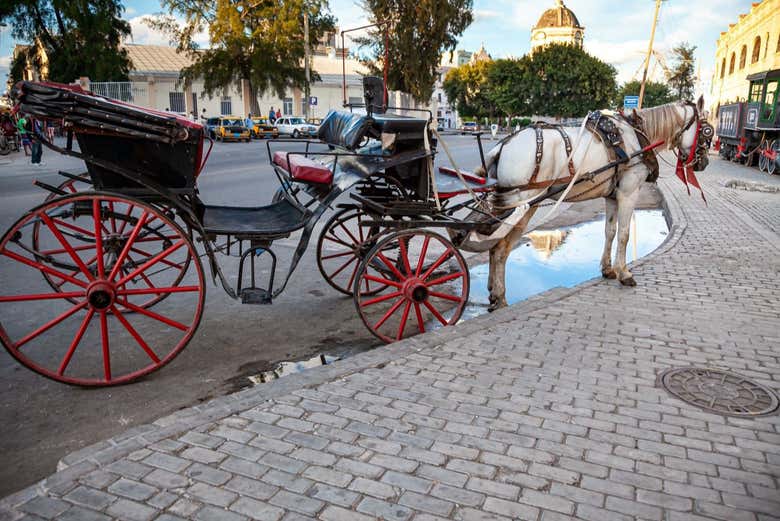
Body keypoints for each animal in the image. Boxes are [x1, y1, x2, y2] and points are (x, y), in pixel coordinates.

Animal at [478, 96, 708, 308]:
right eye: (706, 131)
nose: (703, 163)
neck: (637, 135)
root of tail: (502, 146)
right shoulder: (629, 193)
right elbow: (624, 234)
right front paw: (624, 273)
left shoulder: (612, 196)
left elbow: (610, 231)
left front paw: (607, 269)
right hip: (523, 204)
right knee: (501, 246)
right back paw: (500, 295)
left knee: (492, 243)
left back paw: (491, 289)